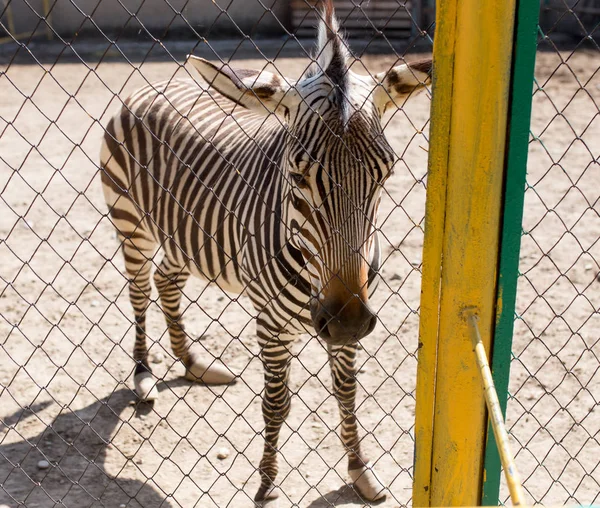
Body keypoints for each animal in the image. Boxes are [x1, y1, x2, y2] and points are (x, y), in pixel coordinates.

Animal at [101, 0, 432, 504]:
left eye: (386, 174)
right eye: (296, 176)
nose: (346, 319)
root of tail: (155, 82)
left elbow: (347, 392)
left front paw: (360, 470)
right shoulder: (271, 325)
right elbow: (277, 404)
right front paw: (266, 483)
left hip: (183, 234)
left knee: (165, 280)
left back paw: (193, 363)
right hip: (130, 223)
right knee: (139, 291)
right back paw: (143, 374)